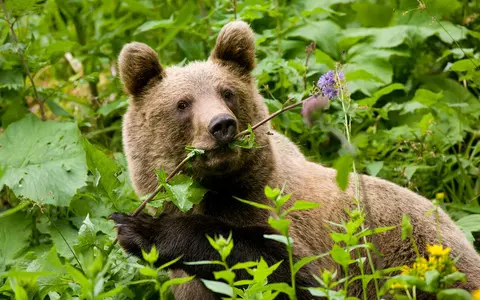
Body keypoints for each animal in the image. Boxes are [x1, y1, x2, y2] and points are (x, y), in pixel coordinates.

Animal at [110, 19, 480, 298]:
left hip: (422, 259)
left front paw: (140, 228)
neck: (214, 189)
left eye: (227, 92)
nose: (222, 126)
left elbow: (283, 270)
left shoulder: (309, 234)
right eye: (183, 103)